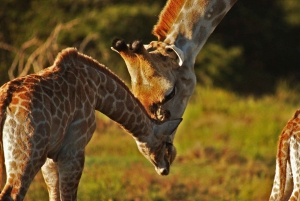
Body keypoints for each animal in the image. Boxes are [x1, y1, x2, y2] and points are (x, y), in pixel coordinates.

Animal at [0, 48, 180, 200]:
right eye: (168, 143)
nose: (165, 169)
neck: (95, 87)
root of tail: (5, 102)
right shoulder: (73, 151)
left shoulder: (51, 157)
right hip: (29, 153)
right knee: (12, 194)